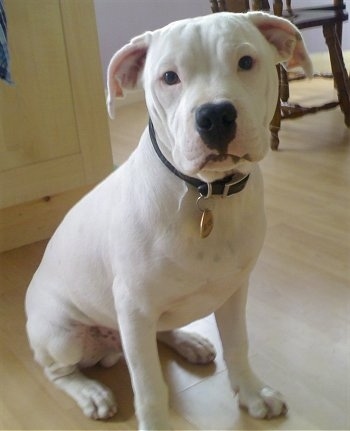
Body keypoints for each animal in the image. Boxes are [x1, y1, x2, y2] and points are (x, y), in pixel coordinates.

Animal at [25, 11, 312, 430]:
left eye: (246, 62)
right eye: (169, 77)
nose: (215, 115)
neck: (205, 192)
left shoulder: (233, 290)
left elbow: (237, 344)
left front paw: (251, 392)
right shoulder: (134, 307)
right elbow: (148, 388)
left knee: (161, 329)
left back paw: (188, 341)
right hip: (65, 337)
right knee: (57, 371)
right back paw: (90, 392)